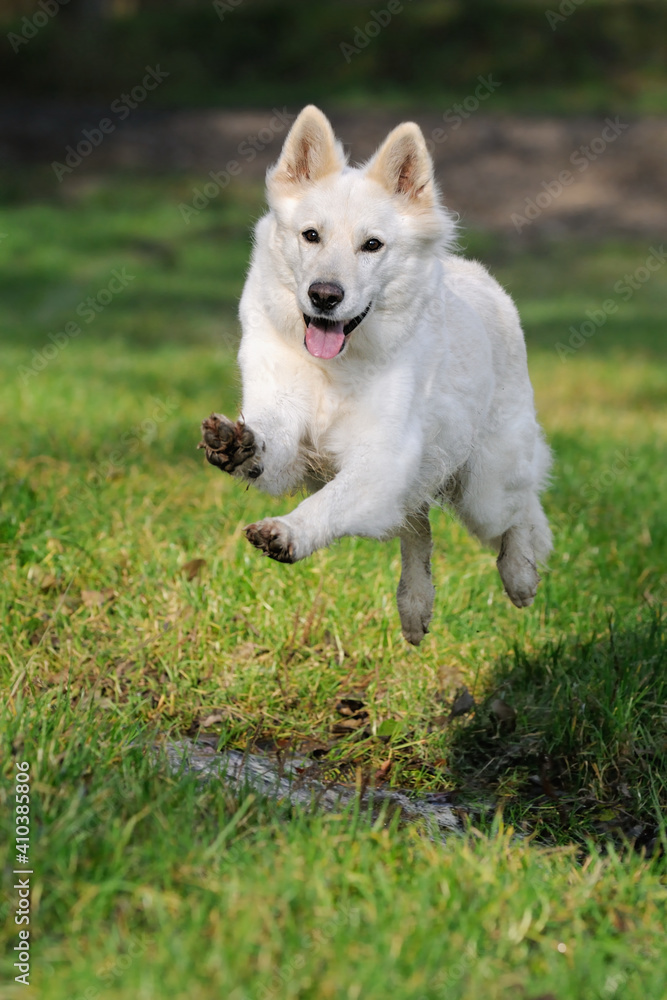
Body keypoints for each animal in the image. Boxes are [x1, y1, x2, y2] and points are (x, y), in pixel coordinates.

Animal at [200, 105, 552, 644]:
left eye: (371, 245)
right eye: (311, 235)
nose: (324, 296)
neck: (335, 369)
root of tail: (478, 276)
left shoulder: (381, 459)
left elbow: (328, 504)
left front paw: (288, 532)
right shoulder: (291, 435)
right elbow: (265, 444)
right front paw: (237, 445)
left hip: (485, 489)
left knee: (521, 509)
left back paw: (520, 574)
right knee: (418, 527)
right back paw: (415, 605)